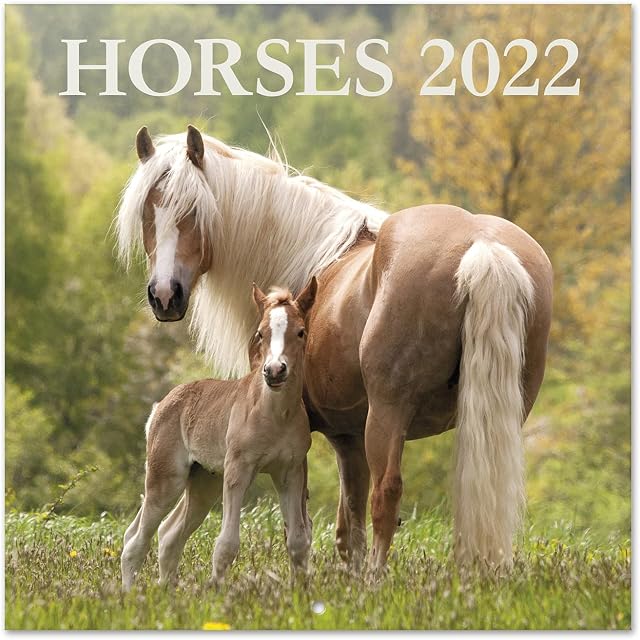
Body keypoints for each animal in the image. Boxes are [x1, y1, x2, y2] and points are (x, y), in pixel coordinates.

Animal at [120, 279, 318, 590]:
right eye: (260, 333)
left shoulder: (290, 472)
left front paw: (300, 593)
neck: (275, 414)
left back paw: (166, 592)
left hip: (204, 481)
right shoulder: (238, 468)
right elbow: (226, 544)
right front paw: (217, 593)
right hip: (166, 479)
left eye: (300, 332)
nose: (275, 371)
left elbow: (298, 541)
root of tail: (160, 406)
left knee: (168, 534)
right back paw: (129, 595)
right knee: (136, 541)